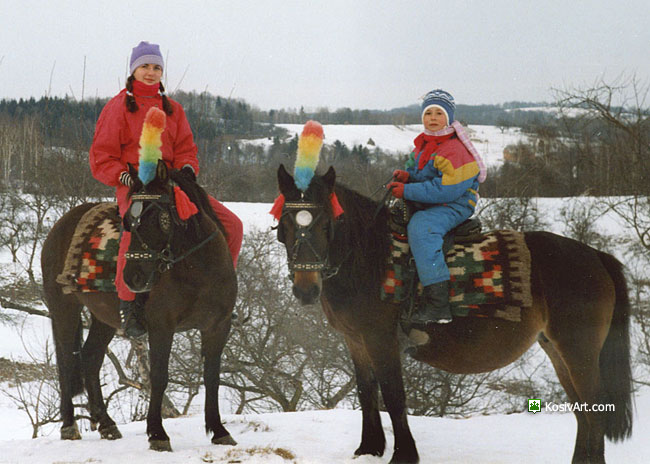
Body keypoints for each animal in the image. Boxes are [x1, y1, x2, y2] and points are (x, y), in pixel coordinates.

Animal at [41, 161, 237, 452]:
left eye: (158, 217)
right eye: (128, 223)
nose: (133, 277)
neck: (197, 269)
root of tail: (61, 224)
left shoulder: (217, 327)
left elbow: (212, 376)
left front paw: (219, 430)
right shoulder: (161, 327)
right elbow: (159, 376)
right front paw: (157, 433)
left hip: (104, 318)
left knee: (90, 358)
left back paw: (106, 423)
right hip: (64, 308)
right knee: (66, 361)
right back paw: (68, 425)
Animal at [272, 164, 628, 464]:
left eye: (325, 224)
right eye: (286, 224)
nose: (305, 289)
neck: (370, 257)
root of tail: (595, 256)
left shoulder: (381, 339)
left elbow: (394, 395)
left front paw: (404, 455)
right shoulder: (355, 341)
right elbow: (366, 391)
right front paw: (369, 449)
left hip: (578, 349)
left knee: (595, 408)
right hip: (556, 349)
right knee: (583, 410)